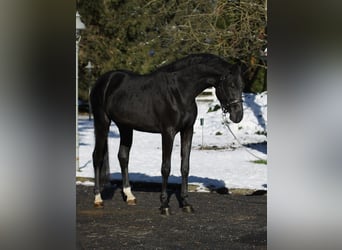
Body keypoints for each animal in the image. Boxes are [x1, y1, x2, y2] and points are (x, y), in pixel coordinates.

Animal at [88, 53, 243, 214]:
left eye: (241, 85)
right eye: (231, 85)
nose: (238, 116)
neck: (179, 91)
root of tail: (104, 80)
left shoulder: (187, 130)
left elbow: (185, 167)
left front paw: (186, 203)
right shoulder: (168, 132)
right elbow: (166, 168)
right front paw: (164, 205)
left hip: (125, 127)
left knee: (123, 157)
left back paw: (130, 196)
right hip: (102, 123)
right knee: (97, 157)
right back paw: (98, 199)